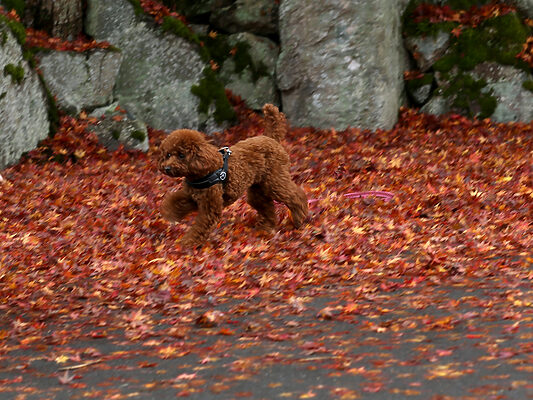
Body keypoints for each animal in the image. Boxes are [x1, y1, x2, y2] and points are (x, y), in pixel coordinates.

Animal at [158, 104, 308, 247]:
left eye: (181, 155)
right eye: (168, 155)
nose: (167, 168)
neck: (202, 171)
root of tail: (270, 138)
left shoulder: (210, 207)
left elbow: (200, 227)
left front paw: (187, 243)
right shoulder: (193, 197)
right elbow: (177, 201)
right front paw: (170, 213)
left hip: (275, 181)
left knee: (295, 196)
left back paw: (299, 218)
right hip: (258, 189)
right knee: (267, 206)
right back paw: (265, 228)